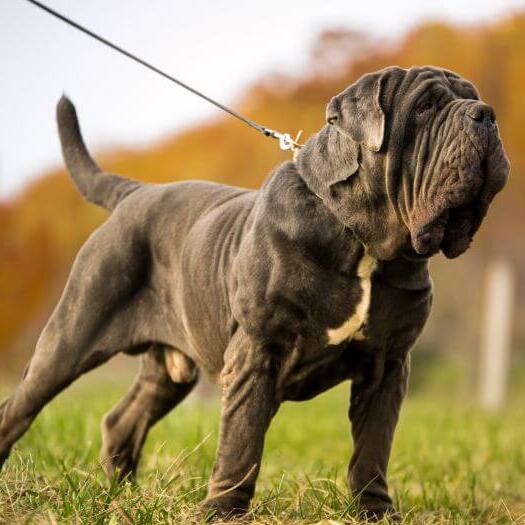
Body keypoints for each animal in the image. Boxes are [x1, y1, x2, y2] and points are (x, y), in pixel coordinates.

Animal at [0, 66, 508, 520]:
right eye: (424, 108)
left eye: (474, 98)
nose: (486, 114)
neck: (361, 239)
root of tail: (134, 193)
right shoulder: (258, 351)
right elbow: (242, 439)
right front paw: (223, 511)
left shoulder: (387, 366)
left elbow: (372, 449)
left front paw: (375, 512)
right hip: (70, 336)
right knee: (20, 405)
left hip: (169, 370)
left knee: (123, 419)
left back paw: (120, 496)